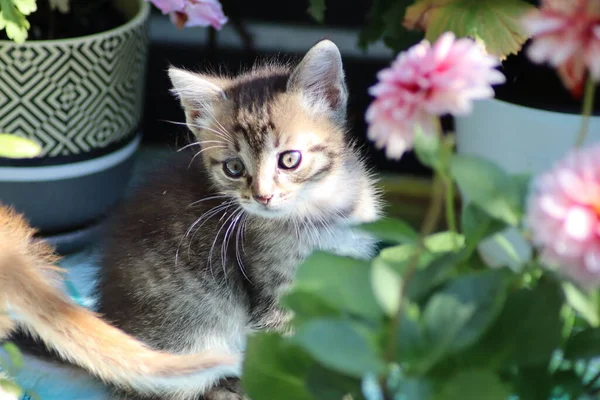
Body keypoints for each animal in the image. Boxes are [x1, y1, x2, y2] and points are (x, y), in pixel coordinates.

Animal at [96, 38, 382, 400]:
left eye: (290, 160)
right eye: (233, 167)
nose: (262, 196)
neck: (320, 211)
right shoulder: (276, 298)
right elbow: (290, 353)